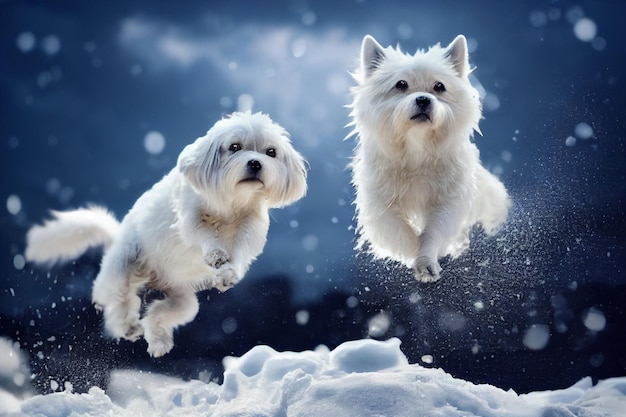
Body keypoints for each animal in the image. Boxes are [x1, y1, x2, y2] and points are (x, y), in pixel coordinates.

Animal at [25, 112, 306, 356]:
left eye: (271, 152)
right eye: (235, 147)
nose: (255, 163)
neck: (231, 204)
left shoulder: (250, 230)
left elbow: (240, 254)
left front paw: (228, 273)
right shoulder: (191, 218)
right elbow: (204, 235)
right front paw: (216, 254)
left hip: (183, 300)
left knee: (158, 312)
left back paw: (158, 341)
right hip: (122, 268)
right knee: (118, 302)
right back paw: (128, 326)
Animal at [348, 35, 510, 282]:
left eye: (439, 87)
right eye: (401, 84)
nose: (423, 100)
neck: (417, 149)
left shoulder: (448, 201)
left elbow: (433, 232)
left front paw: (427, 262)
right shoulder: (381, 205)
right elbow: (402, 233)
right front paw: (416, 259)